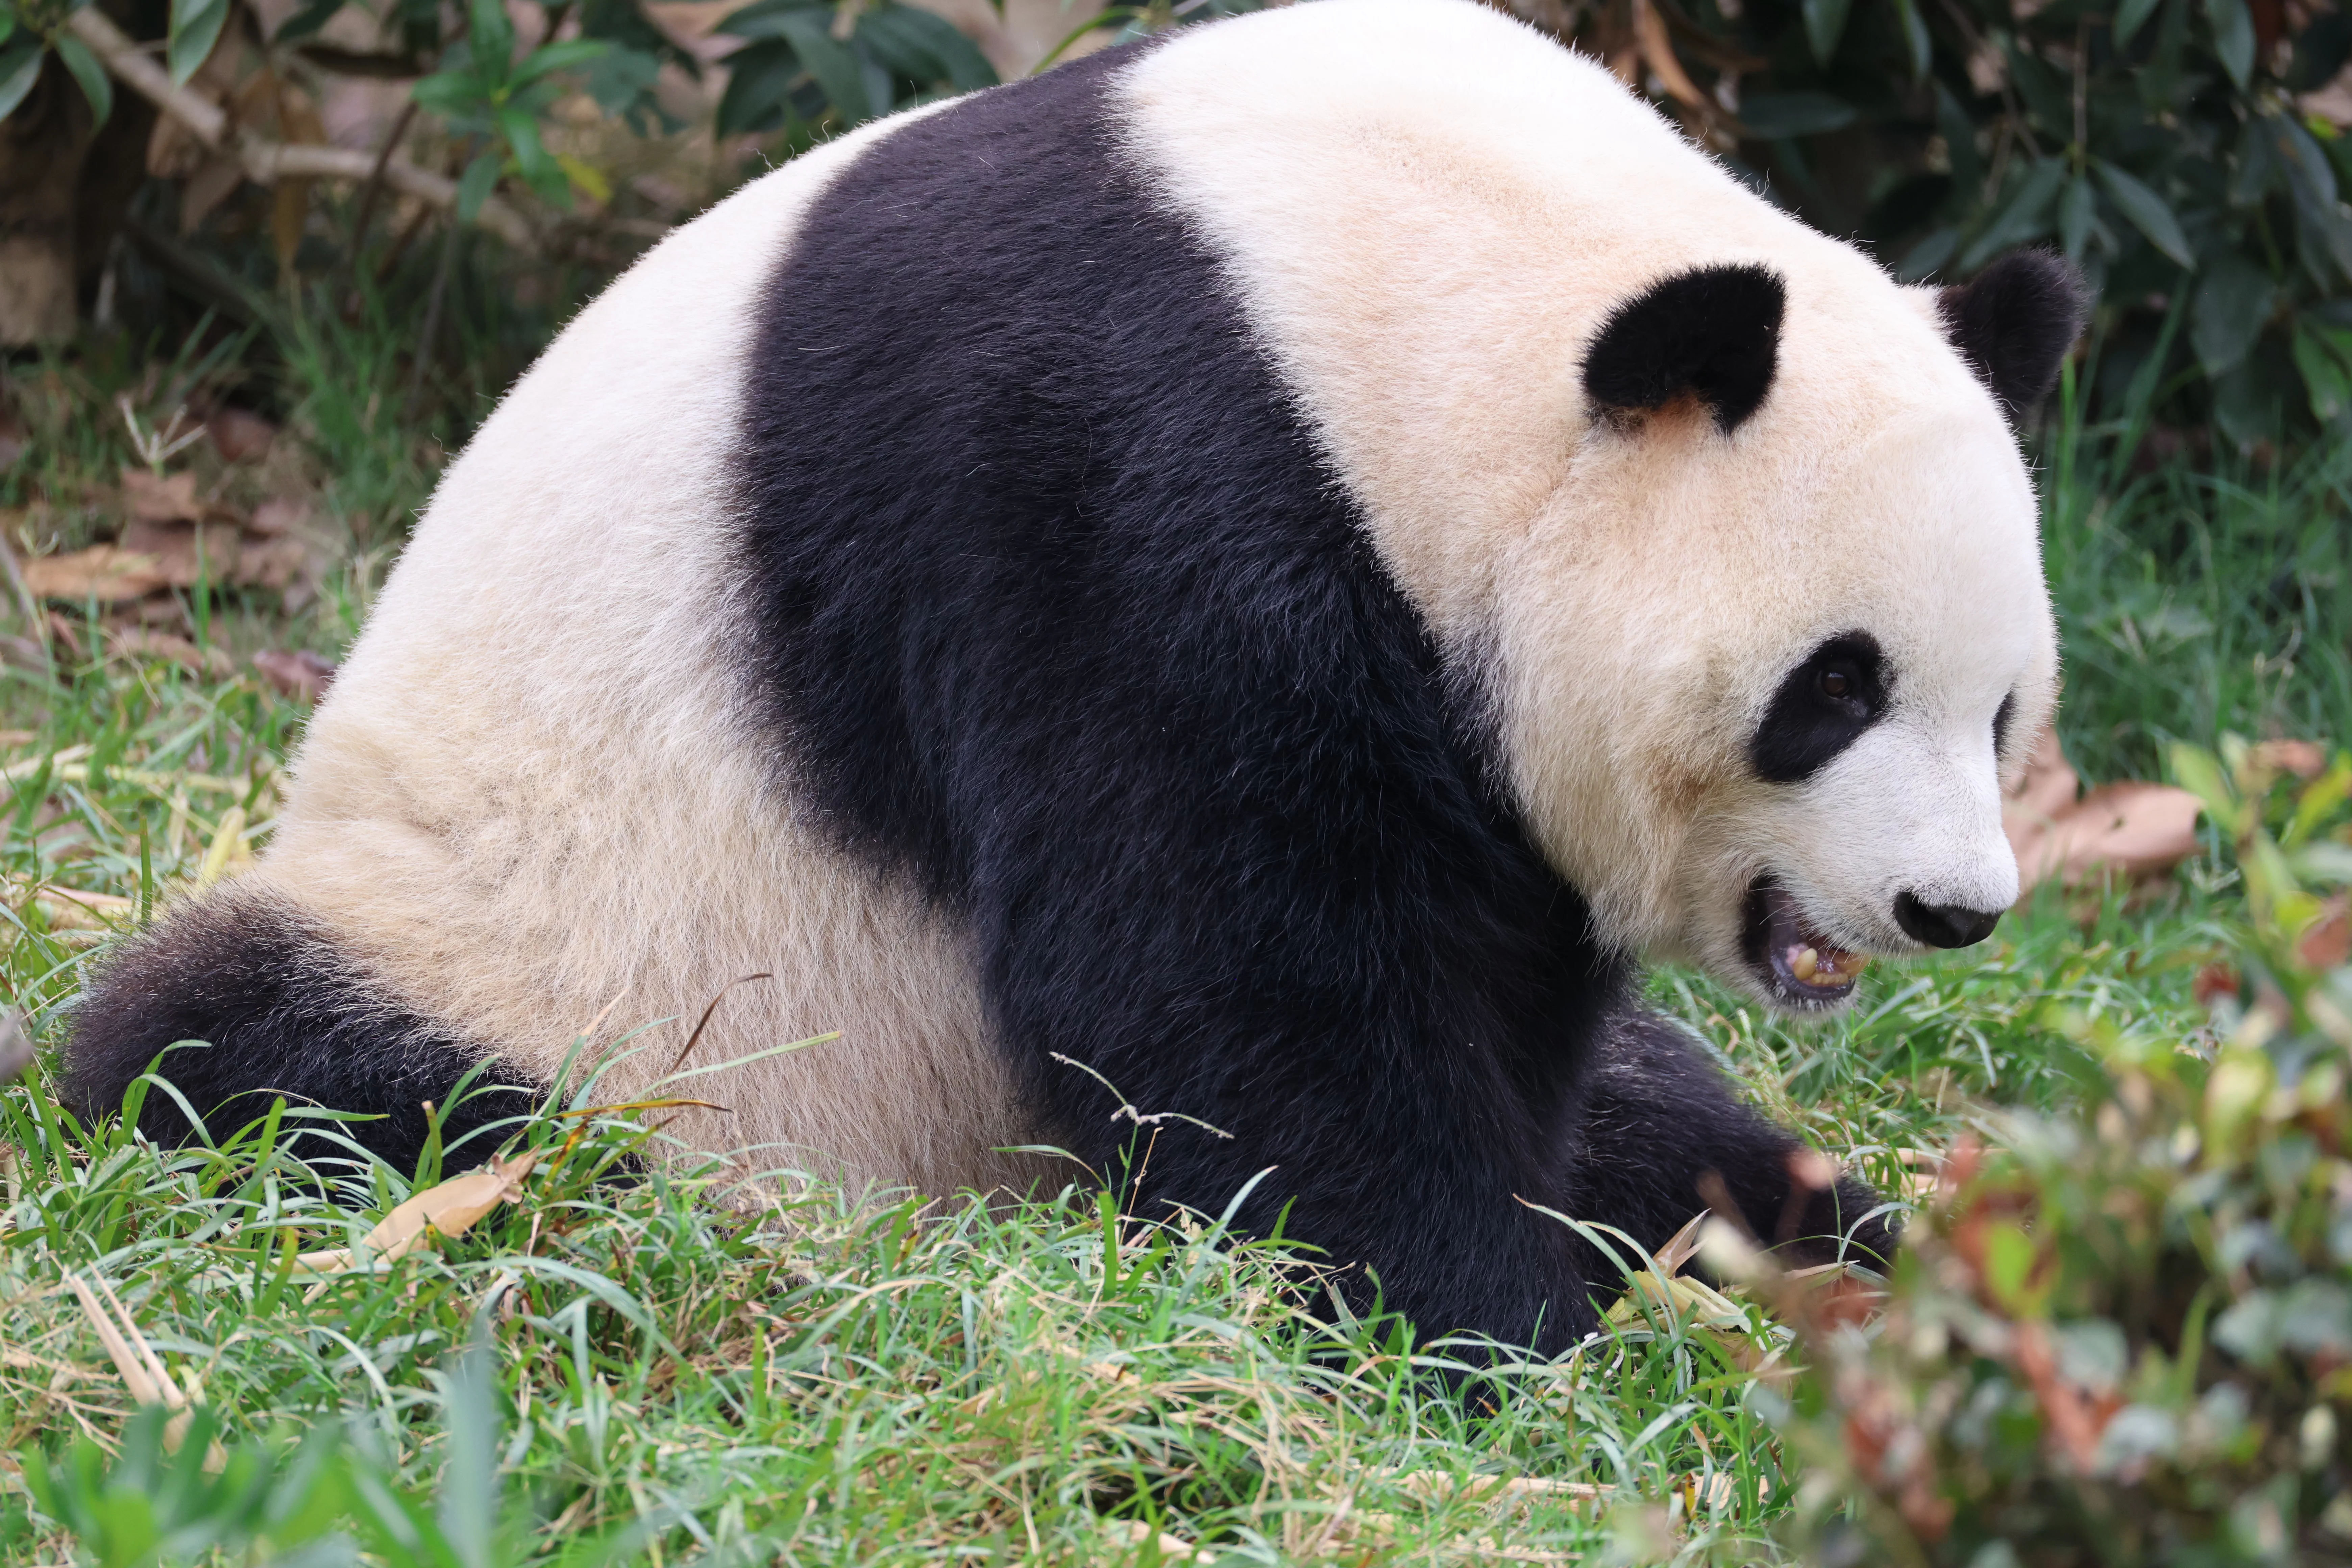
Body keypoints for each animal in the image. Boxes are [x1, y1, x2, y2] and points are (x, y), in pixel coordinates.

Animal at [63, 0, 2082, 1354]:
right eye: (1831, 687)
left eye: (1999, 713)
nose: (1956, 907)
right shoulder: (1114, 469)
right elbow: (1229, 963)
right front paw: (1480, 1329)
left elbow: (1509, 1016)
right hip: (578, 973)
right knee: (304, 1077)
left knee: (1676, 1114)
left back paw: (1862, 1253)